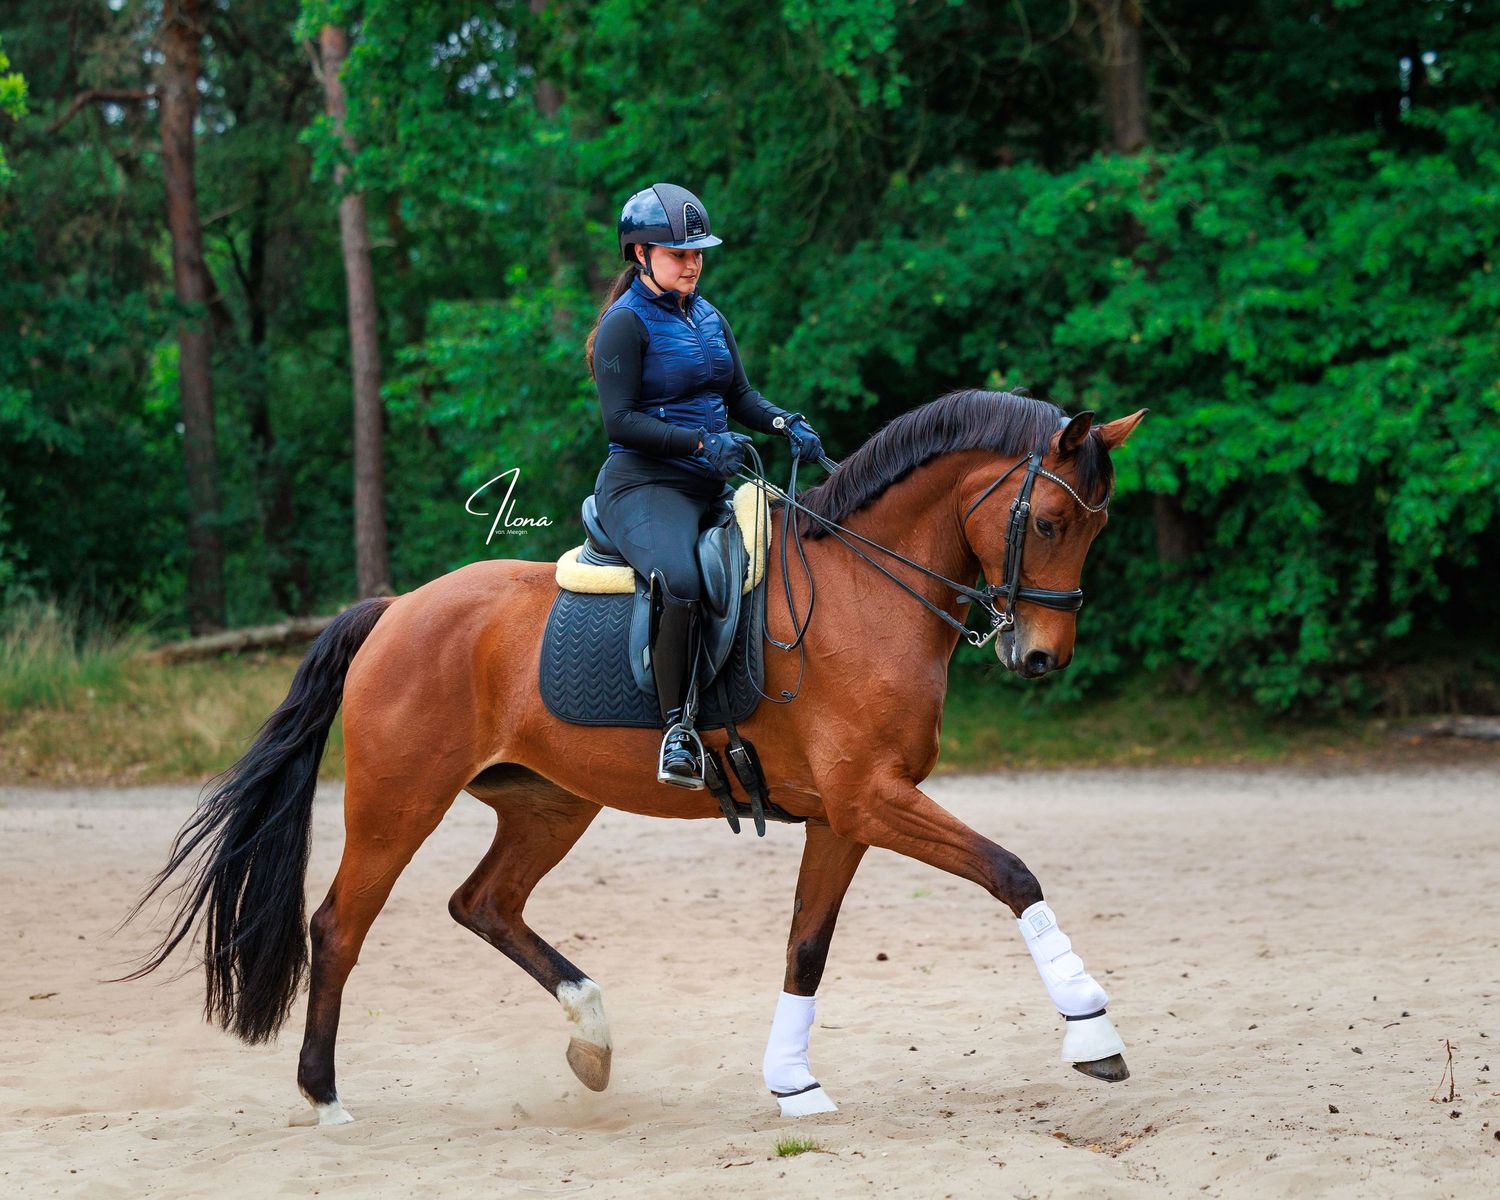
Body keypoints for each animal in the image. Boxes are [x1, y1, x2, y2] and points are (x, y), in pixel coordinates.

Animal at [126, 388, 1146, 1125]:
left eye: (1098, 527)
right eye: (1049, 523)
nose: (1041, 658)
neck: (868, 590)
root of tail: (395, 610)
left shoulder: (848, 814)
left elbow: (806, 946)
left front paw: (793, 1085)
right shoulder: (873, 800)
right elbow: (1012, 873)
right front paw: (1091, 1032)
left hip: (549, 802)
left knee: (483, 903)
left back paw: (592, 1036)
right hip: (396, 803)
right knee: (340, 926)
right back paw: (326, 1097)